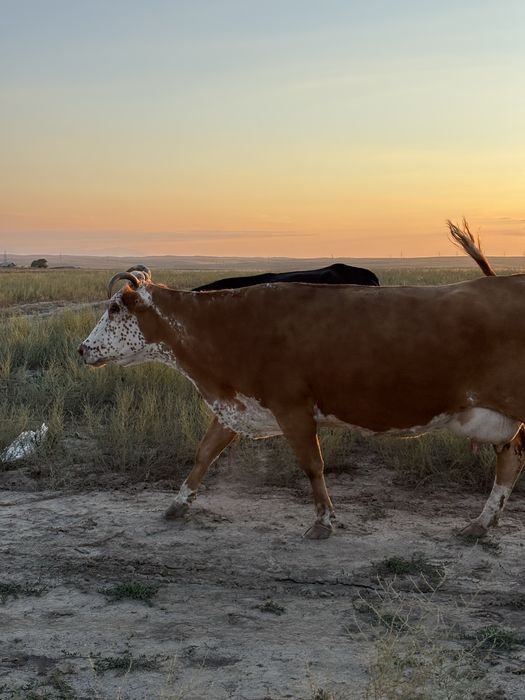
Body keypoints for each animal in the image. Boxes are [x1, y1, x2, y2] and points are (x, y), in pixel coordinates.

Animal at [79, 256, 525, 540]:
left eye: (116, 308)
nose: (82, 349)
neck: (227, 325)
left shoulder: (292, 408)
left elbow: (313, 466)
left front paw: (323, 521)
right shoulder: (239, 404)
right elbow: (205, 453)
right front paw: (178, 504)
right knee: (510, 456)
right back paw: (481, 523)